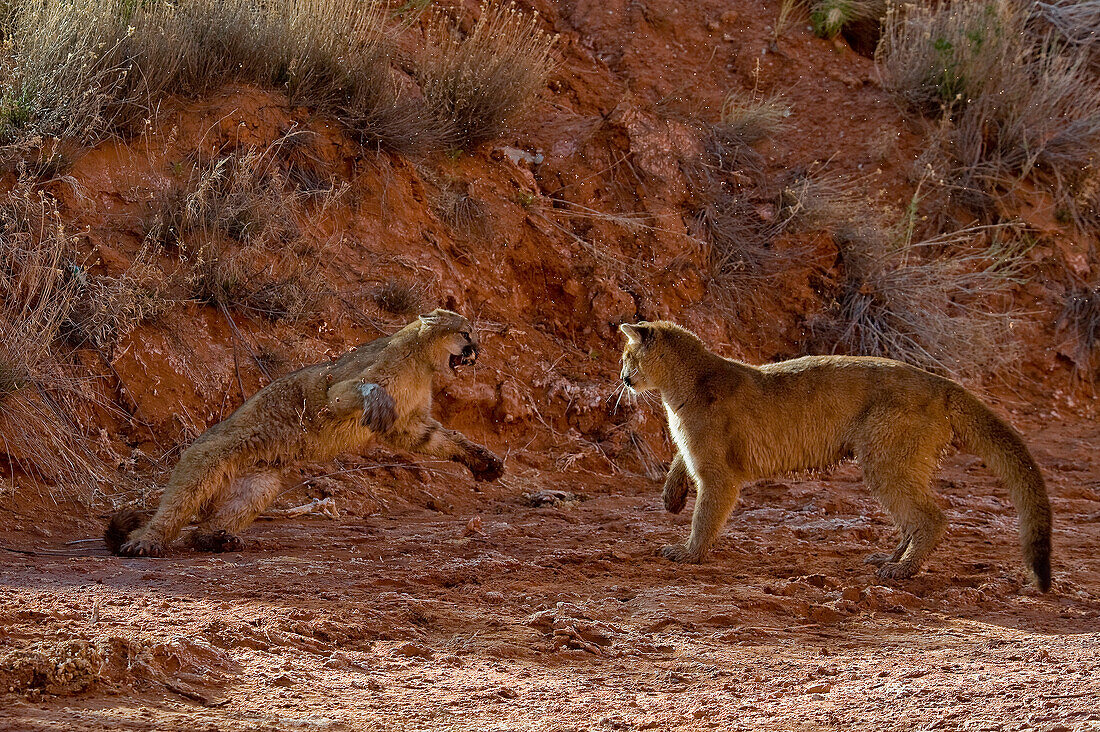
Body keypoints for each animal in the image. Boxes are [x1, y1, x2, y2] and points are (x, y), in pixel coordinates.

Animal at [106, 308, 503, 554]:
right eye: (466, 333)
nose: (477, 352)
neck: (423, 363)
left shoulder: (411, 425)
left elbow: (446, 440)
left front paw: (484, 462)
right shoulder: (336, 391)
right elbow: (365, 389)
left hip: (260, 485)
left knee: (204, 526)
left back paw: (216, 538)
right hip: (207, 458)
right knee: (173, 510)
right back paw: (145, 541)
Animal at [624, 319, 1051, 590]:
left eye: (628, 357)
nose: (625, 379)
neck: (681, 387)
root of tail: (941, 381)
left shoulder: (718, 473)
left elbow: (706, 514)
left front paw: (688, 553)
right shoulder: (693, 453)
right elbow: (679, 464)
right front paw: (671, 498)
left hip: (885, 459)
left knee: (932, 516)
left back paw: (902, 571)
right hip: (898, 461)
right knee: (914, 518)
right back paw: (888, 559)